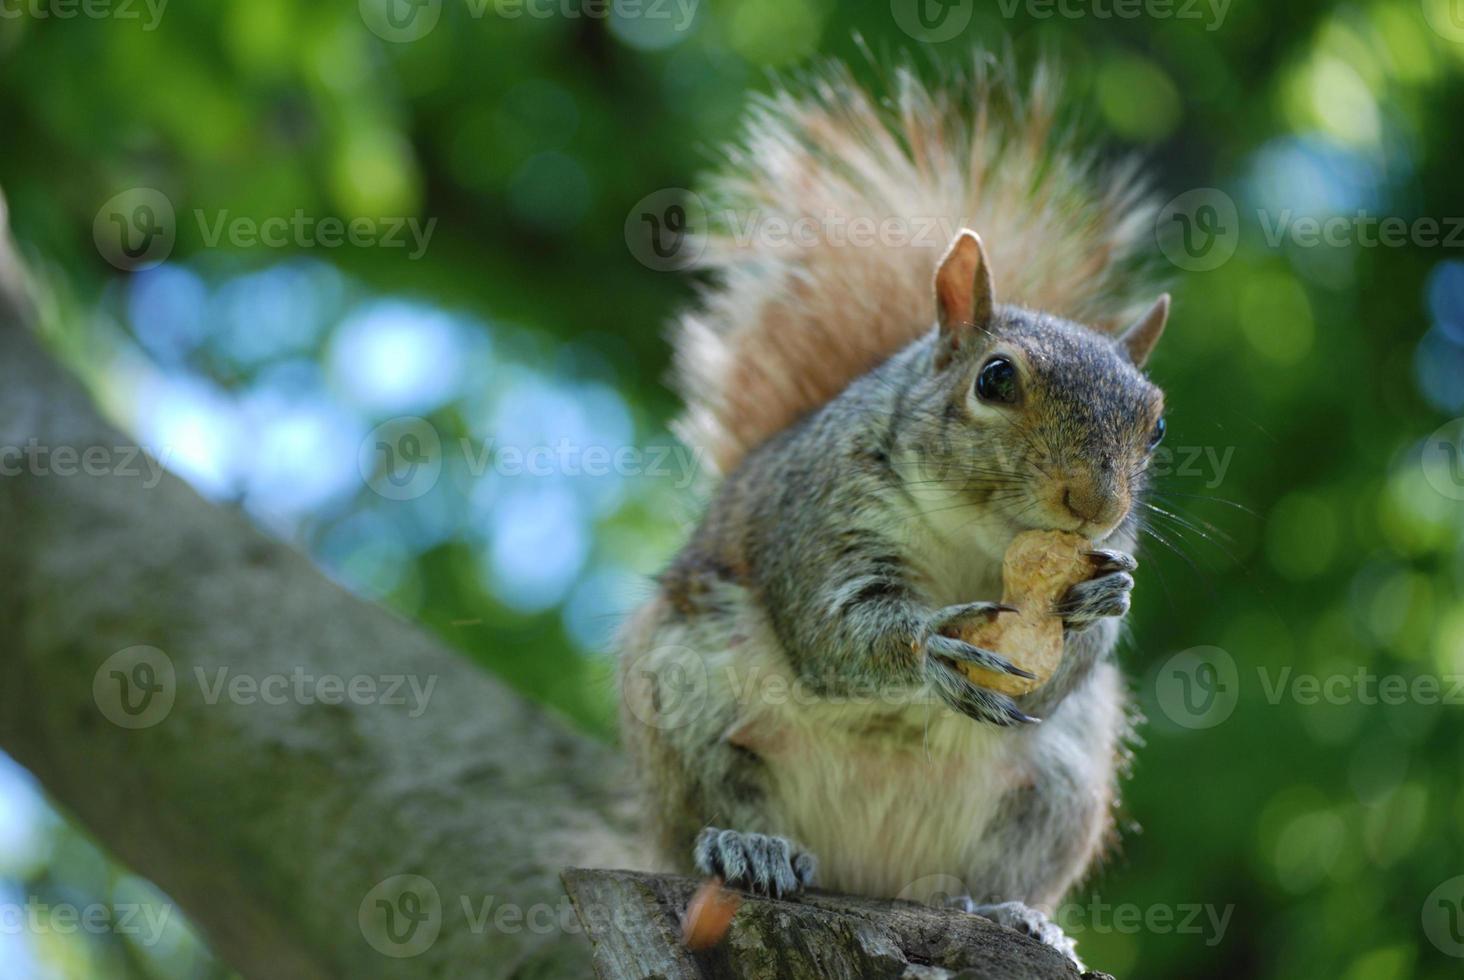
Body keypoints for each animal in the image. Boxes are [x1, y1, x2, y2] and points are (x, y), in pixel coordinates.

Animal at [617, 57, 1165, 966]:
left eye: (1156, 424)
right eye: (995, 378)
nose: (1095, 504)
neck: (980, 542)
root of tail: (868, 874)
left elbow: (1064, 668)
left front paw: (1099, 600)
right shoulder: (823, 516)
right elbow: (836, 623)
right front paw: (931, 646)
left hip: (1057, 789)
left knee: (991, 870)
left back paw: (1017, 915)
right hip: (687, 695)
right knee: (713, 801)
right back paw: (747, 846)